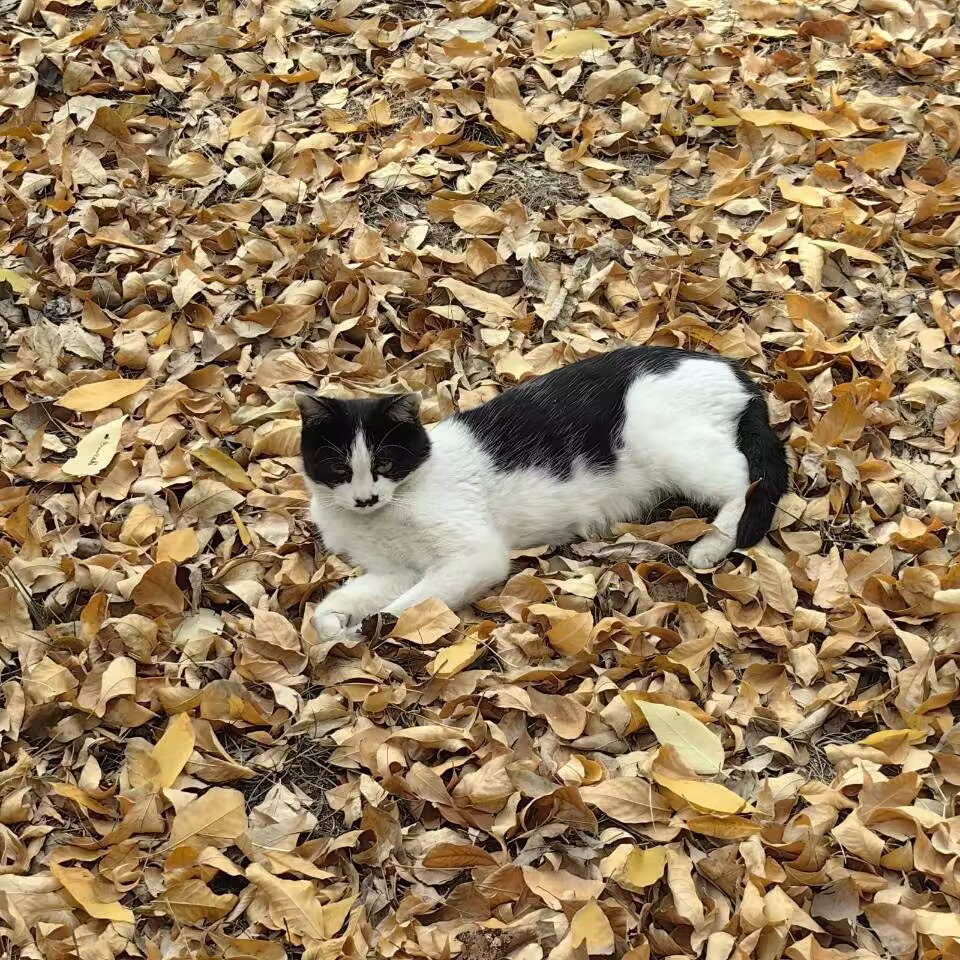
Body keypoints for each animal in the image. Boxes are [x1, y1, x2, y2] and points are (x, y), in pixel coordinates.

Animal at [299, 347, 788, 639]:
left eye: (384, 464)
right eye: (340, 469)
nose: (365, 498)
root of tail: (733, 369)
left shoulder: (474, 557)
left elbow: (412, 603)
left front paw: (374, 626)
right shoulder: (393, 570)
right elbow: (336, 605)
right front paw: (338, 625)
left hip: (669, 443)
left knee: (745, 477)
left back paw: (712, 544)